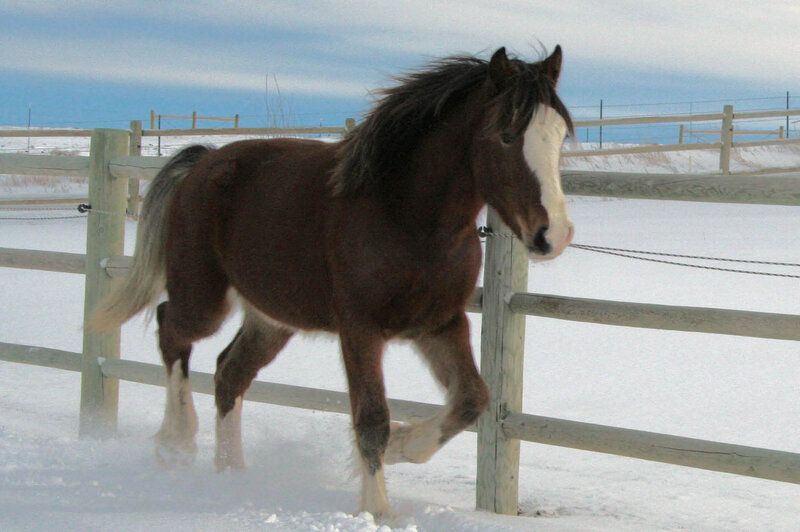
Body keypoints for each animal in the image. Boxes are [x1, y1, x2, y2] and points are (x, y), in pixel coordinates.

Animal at [91, 46, 575, 518]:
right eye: (507, 136)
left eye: (561, 135)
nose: (553, 235)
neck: (405, 217)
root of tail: (201, 163)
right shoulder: (359, 328)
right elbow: (372, 419)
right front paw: (378, 511)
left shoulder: (440, 323)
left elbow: (472, 399)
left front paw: (403, 444)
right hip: (203, 299)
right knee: (170, 328)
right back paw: (175, 442)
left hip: (271, 320)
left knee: (229, 373)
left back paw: (232, 474)